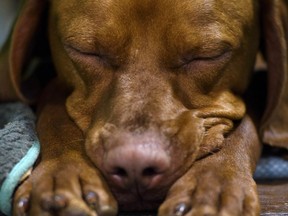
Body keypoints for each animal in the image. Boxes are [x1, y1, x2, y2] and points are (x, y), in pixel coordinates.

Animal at [0, 0, 288, 215]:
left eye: (208, 55)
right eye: (85, 51)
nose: (135, 167)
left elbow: (248, 123)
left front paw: (213, 187)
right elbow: (54, 110)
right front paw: (63, 174)